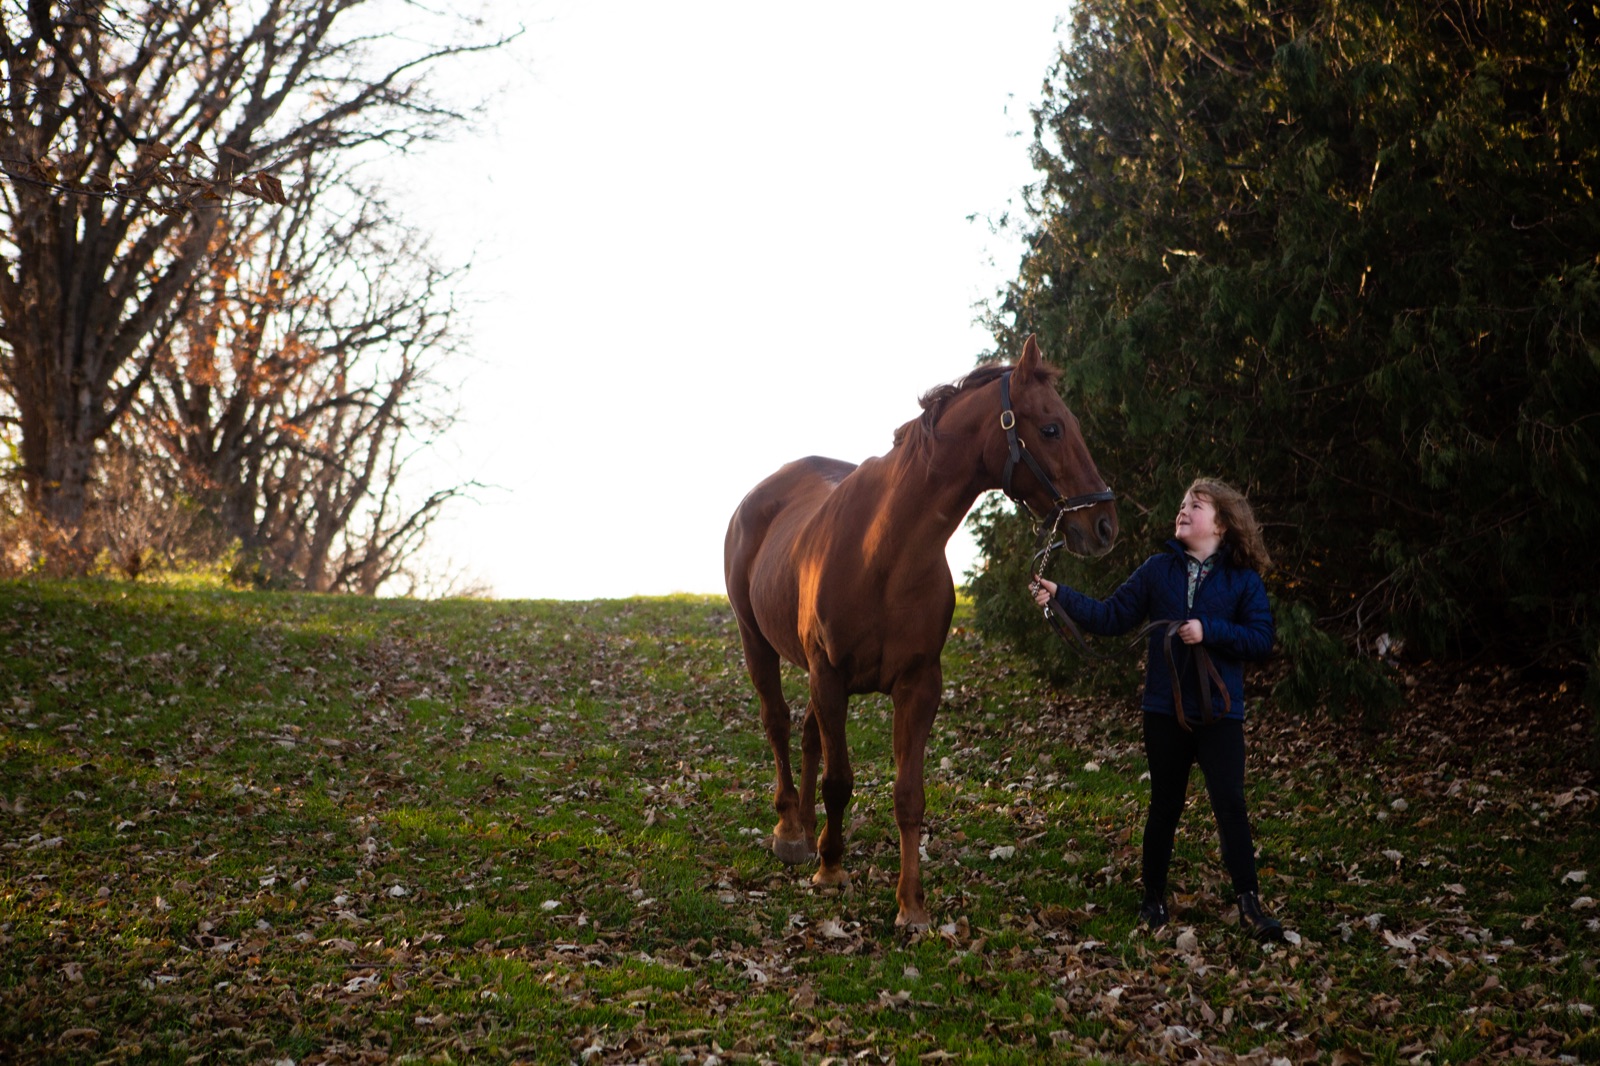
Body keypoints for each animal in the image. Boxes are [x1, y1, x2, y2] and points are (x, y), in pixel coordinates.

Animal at [722, 335, 1118, 929]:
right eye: (1051, 428)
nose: (1103, 526)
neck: (884, 552)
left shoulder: (918, 685)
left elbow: (909, 796)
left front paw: (911, 904)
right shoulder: (831, 676)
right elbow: (840, 780)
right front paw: (831, 869)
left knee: (810, 735)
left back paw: (811, 833)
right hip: (760, 646)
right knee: (778, 724)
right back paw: (792, 832)